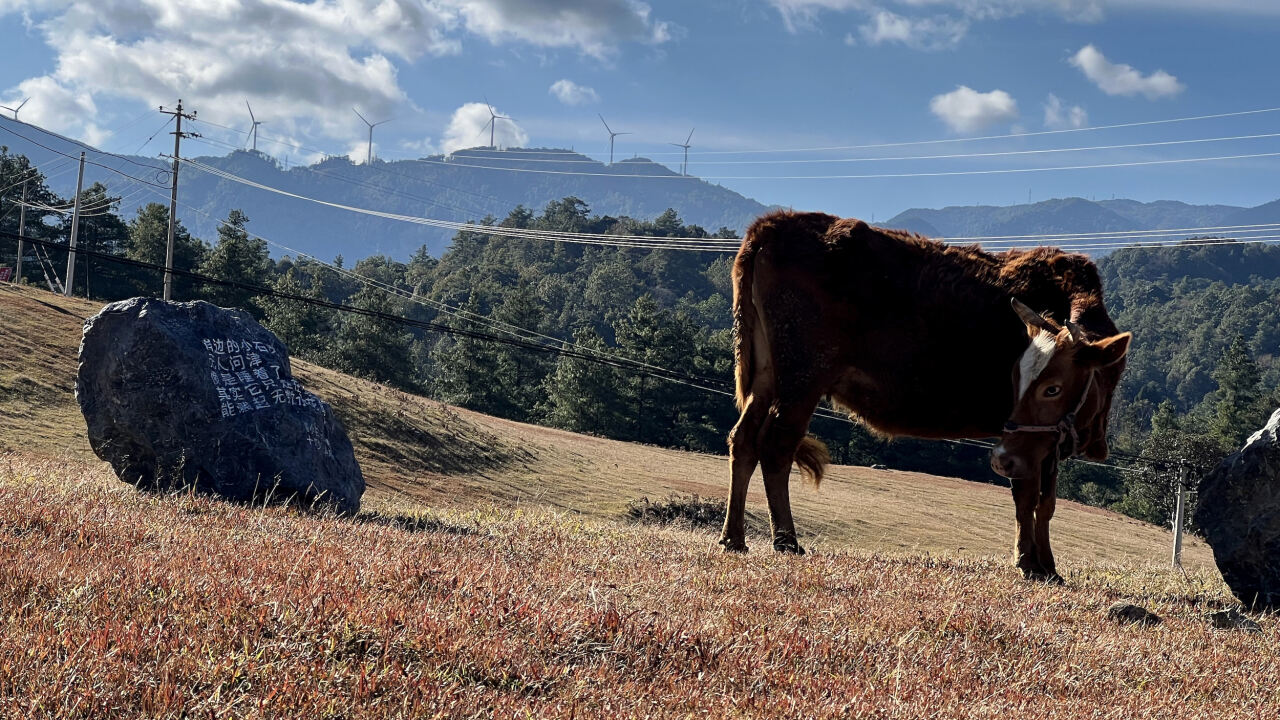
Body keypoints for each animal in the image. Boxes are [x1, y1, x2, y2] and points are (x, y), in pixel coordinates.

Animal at [721, 208, 1131, 576]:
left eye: (1053, 387)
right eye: (1020, 378)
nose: (999, 460)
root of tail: (773, 223)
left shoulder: (1048, 441)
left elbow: (1046, 504)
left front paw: (1048, 564)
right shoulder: (1025, 444)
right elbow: (1027, 496)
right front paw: (1029, 562)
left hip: (766, 374)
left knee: (743, 439)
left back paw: (734, 537)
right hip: (802, 376)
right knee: (777, 444)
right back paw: (786, 539)